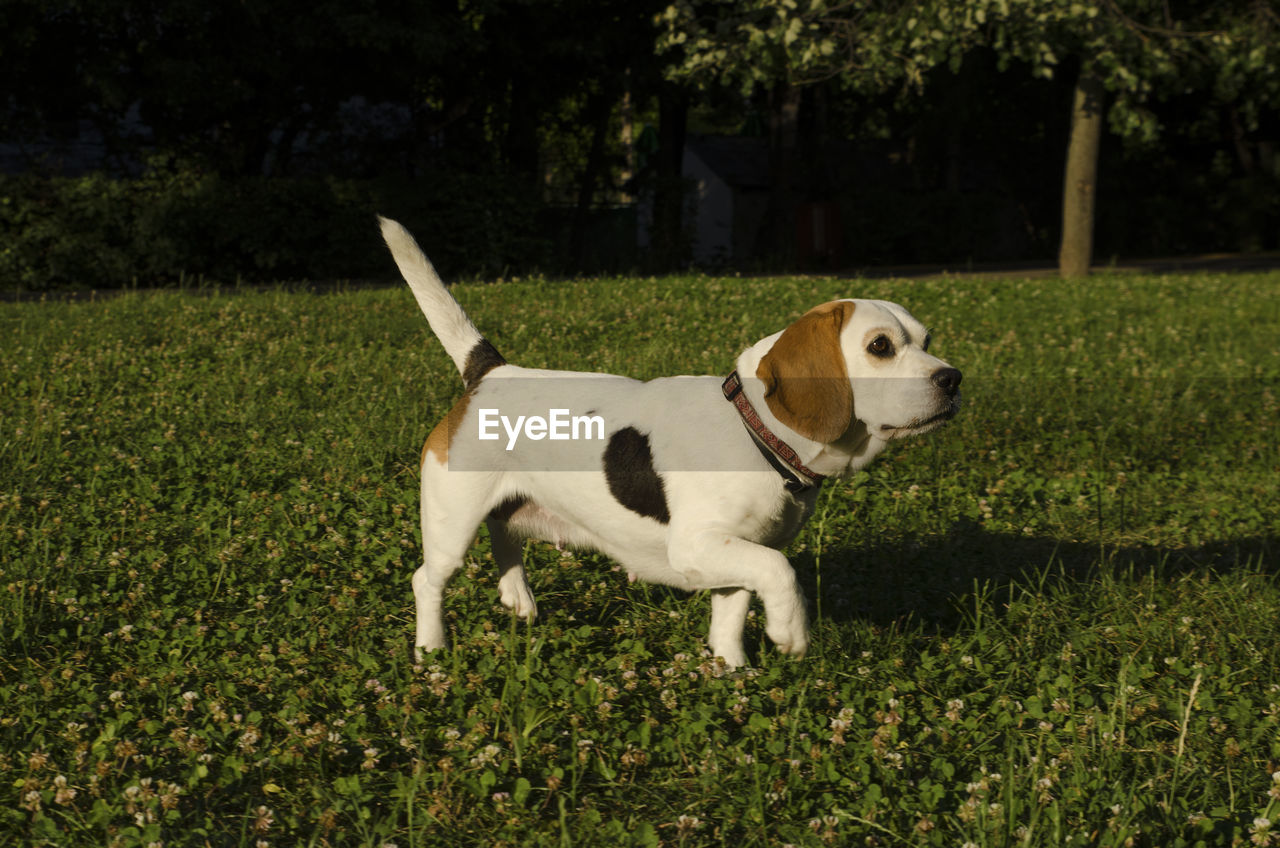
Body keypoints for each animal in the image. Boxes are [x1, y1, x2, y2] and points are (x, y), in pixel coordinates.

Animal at [378, 219, 962, 671]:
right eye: (880, 346)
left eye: (927, 341)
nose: (953, 379)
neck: (755, 430)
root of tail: (491, 371)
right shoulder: (698, 546)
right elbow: (781, 572)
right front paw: (790, 633)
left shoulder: (735, 552)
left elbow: (733, 612)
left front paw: (731, 671)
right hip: (452, 523)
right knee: (427, 580)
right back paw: (431, 649)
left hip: (507, 505)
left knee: (505, 535)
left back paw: (517, 595)